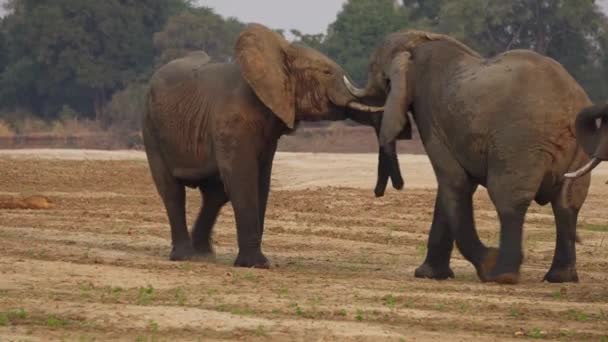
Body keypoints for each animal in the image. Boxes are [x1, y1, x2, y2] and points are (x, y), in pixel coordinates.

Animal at [142, 23, 392, 268]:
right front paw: (257, 264)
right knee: (172, 190)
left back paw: (204, 255)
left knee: (215, 193)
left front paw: (256, 261)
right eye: (327, 73)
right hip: (151, 129)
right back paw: (186, 256)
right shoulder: (231, 123)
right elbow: (243, 177)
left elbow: (261, 180)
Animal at [344, 30, 592, 284]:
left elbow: (453, 181)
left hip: (520, 143)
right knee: (567, 203)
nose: (389, 188)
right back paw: (560, 277)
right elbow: (456, 186)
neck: (420, 43)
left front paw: (485, 264)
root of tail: (568, 106)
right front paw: (429, 275)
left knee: (509, 199)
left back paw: (502, 274)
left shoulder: (431, 119)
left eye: (375, 70)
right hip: (578, 149)